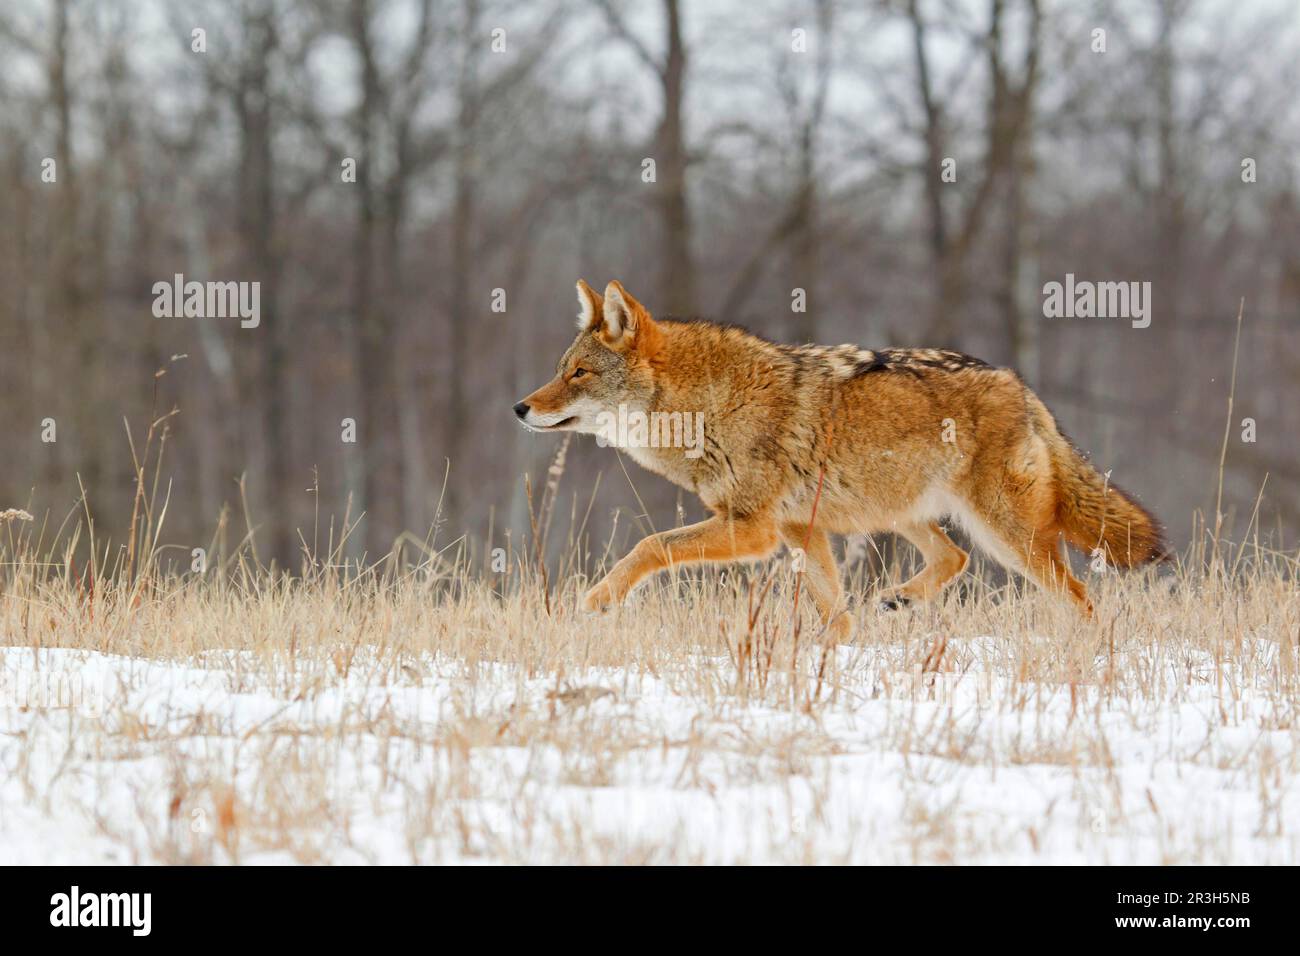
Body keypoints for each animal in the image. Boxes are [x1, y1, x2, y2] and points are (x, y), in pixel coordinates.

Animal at [514, 279, 1165, 640]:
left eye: (578, 373)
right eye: (560, 368)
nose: (520, 407)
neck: (704, 404)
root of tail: (1023, 388)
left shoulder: (754, 530)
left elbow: (650, 546)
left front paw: (597, 599)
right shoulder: (800, 529)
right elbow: (838, 614)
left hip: (1008, 537)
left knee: (1078, 597)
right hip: (903, 514)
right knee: (953, 558)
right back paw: (901, 598)